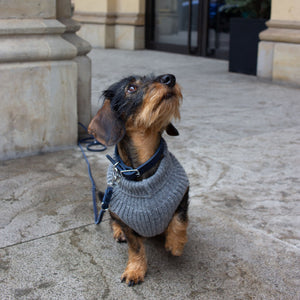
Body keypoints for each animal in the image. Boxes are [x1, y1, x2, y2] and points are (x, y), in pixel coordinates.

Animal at [88, 72, 189, 286]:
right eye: (131, 88)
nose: (169, 78)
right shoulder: (125, 219)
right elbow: (135, 247)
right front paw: (135, 270)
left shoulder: (183, 192)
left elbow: (180, 219)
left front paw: (175, 243)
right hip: (109, 203)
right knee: (112, 220)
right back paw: (117, 232)